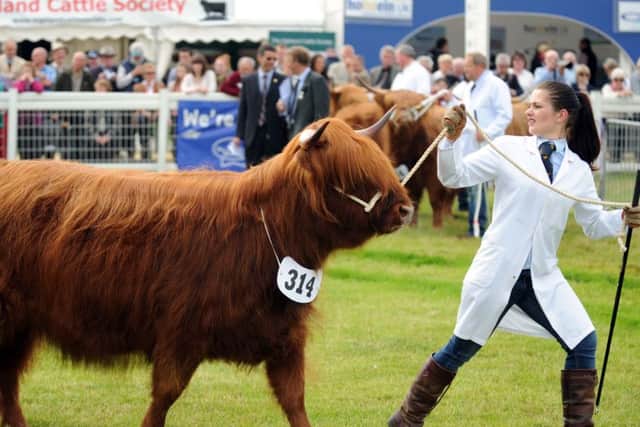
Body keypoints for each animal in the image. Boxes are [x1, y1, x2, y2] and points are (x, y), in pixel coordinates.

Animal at [0, 115, 413, 427]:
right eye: (352, 173)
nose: (405, 209)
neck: (267, 232)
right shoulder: (181, 331)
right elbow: (164, 396)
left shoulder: (284, 334)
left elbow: (294, 399)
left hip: (20, 325)